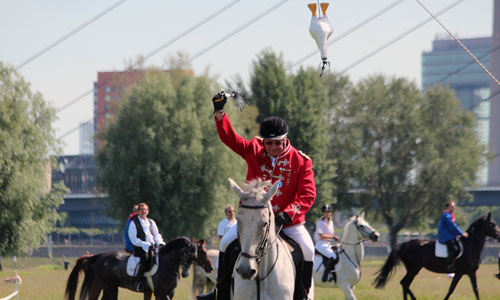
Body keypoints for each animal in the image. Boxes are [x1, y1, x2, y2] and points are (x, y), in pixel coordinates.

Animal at [65, 237, 213, 300]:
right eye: (190, 253)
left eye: (196, 253)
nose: (210, 268)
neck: (168, 264)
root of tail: (98, 256)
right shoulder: (160, 292)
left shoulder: (167, 292)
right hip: (110, 287)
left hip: (101, 286)